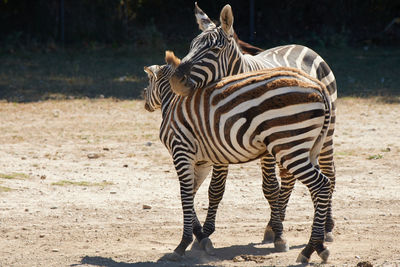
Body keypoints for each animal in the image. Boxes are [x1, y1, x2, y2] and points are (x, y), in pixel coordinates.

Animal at [144, 50, 332, 264]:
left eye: (148, 81)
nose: (144, 100)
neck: (172, 102)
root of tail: (319, 86)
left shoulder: (180, 151)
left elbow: (185, 196)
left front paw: (183, 244)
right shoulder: (202, 162)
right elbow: (190, 195)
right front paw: (201, 238)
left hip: (289, 146)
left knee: (321, 185)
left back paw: (309, 249)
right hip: (310, 147)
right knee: (318, 188)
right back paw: (318, 246)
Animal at [170, 2, 338, 250]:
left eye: (214, 50)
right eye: (191, 46)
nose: (176, 80)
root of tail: (302, 46)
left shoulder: (265, 144)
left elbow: (270, 186)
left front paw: (279, 235)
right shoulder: (218, 141)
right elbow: (216, 189)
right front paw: (207, 233)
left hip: (323, 133)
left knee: (328, 172)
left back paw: (326, 227)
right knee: (291, 177)